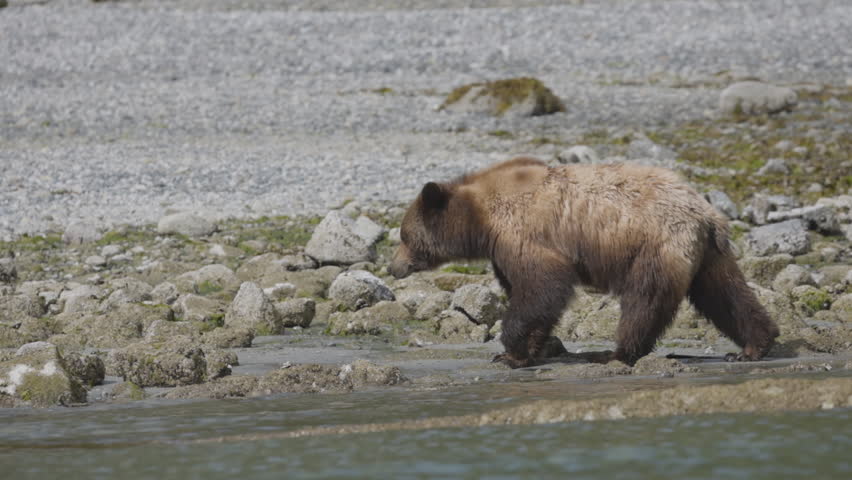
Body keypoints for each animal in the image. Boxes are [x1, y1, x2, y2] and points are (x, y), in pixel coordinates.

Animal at [389, 157, 779, 368]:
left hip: (656, 245)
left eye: (404, 236)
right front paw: (526, 351)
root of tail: (706, 213)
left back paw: (616, 353)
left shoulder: (526, 234)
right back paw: (754, 346)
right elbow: (531, 296)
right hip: (707, 254)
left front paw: (511, 350)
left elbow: (542, 288)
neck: (481, 218)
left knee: (646, 300)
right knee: (725, 294)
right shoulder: (503, 251)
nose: (394, 267)